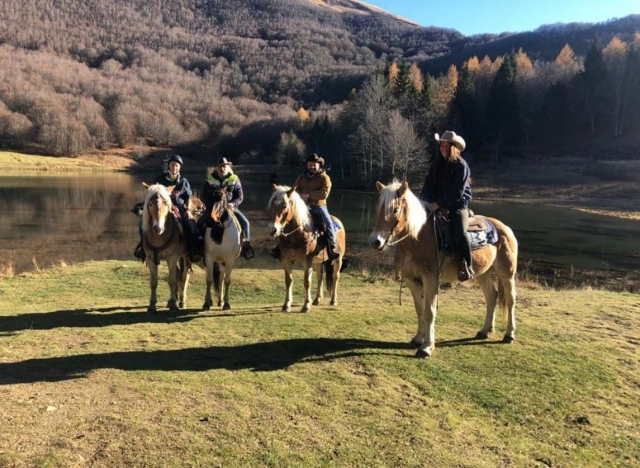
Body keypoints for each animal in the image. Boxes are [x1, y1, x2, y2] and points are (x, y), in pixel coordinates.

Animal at [141, 183, 191, 313]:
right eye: (150, 203)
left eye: (166, 203)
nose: (158, 228)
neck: (159, 237)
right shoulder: (150, 258)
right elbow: (153, 282)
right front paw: (152, 305)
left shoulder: (172, 258)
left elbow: (172, 280)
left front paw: (173, 304)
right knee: (179, 273)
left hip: (184, 257)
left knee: (184, 275)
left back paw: (182, 301)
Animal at [267, 184, 346, 313]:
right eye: (272, 205)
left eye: (284, 206)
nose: (273, 230)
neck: (298, 233)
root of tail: (338, 221)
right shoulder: (286, 260)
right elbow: (288, 281)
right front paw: (286, 304)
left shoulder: (307, 261)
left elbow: (307, 282)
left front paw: (306, 305)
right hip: (317, 261)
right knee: (320, 276)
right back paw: (317, 299)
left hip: (337, 259)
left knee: (335, 276)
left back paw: (333, 300)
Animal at [369, 180, 518, 358]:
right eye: (378, 208)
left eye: (395, 209)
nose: (375, 241)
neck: (418, 238)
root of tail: (505, 228)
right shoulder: (411, 279)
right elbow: (420, 309)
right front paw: (418, 338)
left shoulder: (431, 279)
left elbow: (430, 311)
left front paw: (426, 347)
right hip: (483, 273)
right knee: (491, 297)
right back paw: (484, 331)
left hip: (506, 272)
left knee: (510, 300)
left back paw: (509, 335)